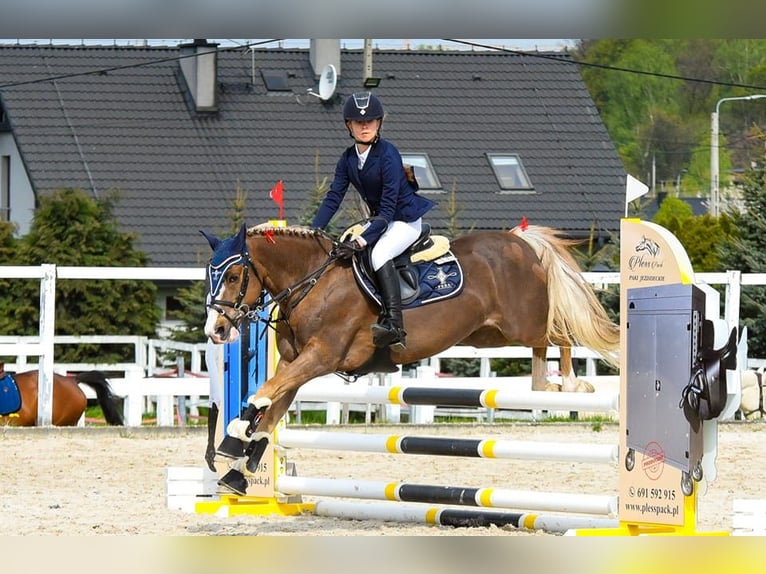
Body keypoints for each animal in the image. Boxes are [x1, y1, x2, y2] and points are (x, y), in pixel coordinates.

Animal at [201, 221, 621, 494]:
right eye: (210, 275)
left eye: (235, 276)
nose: (216, 330)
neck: (312, 282)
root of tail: (521, 243)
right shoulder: (293, 363)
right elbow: (270, 409)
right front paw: (237, 469)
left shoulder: (321, 356)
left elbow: (261, 396)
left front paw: (233, 437)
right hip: (491, 334)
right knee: (544, 349)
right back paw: (546, 385)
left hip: (522, 324)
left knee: (562, 332)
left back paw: (572, 384)